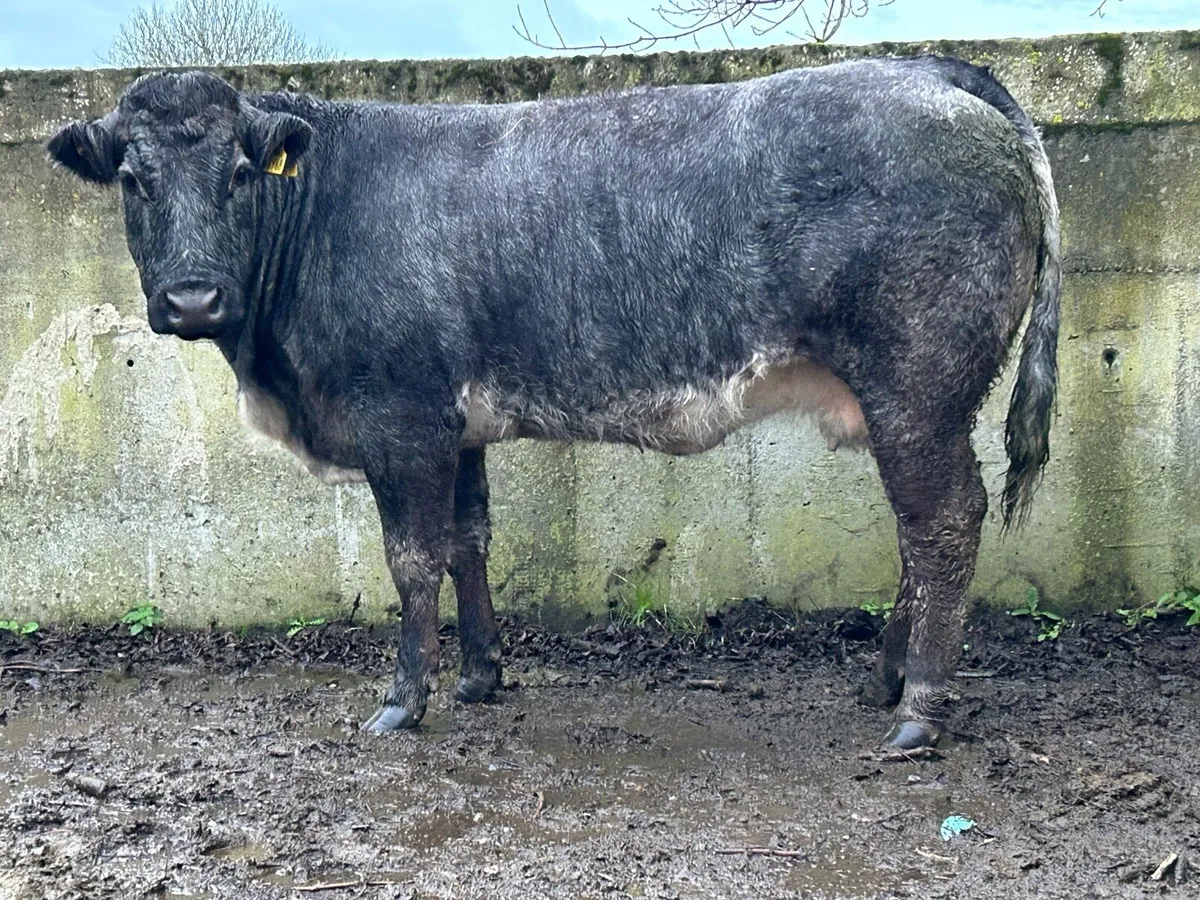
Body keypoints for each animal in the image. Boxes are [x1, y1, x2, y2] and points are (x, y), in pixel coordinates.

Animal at [46, 54, 1060, 749]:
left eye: (239, 174)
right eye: (133, 179)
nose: (191, 300)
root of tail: (923, 69)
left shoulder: (400, 417)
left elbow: (411, 559)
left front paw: (403, 700)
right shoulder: (455, 427)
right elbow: (468, 544)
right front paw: (480, 678)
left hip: (918, 387)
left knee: (944, 521)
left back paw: (918, 710)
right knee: (920, 531)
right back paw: (882, 682)